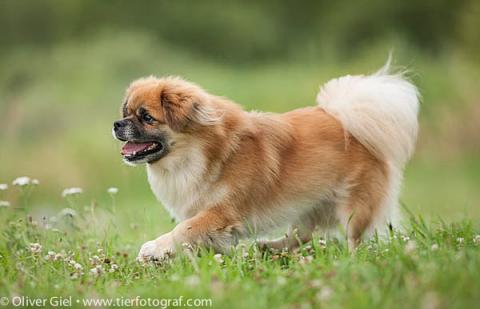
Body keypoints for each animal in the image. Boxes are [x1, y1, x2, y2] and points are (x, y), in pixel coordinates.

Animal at [111, 61, 416, 258]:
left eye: (146, 117)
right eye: (126, 112)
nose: (116, 124)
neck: (196, 154)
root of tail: (348, 123)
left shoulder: (221, 212)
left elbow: (184, 229)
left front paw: (154, 248)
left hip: (354, 208)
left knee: (355, 239)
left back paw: (351, 263)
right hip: (308, 203)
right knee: (302, 235)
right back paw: (268, 247)